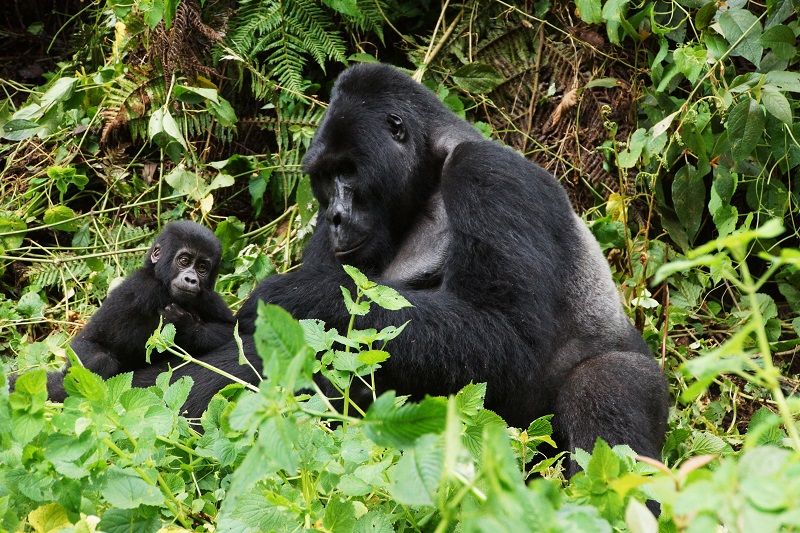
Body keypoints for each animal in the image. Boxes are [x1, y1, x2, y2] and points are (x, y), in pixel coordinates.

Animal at [133, 63, 668, 470]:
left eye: (348, 171)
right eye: (324, 177)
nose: (335, 215)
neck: (431, 167)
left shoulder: (490, 174)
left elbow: (506, 337)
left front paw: (289, 297)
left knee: (603, 392)